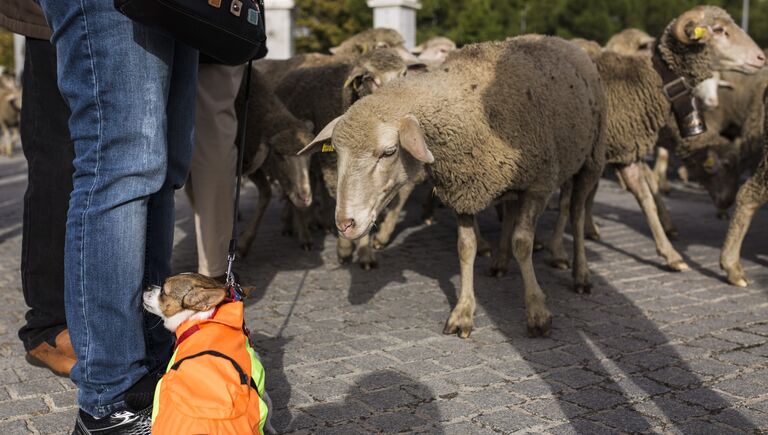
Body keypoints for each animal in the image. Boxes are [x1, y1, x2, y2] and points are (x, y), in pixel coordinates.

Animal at [234, 68, 318, 255]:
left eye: (309, 154)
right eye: (278, 154)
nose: (305, 198)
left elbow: (269, 194)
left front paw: (305, 236)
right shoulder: (246, 161)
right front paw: (242, 243)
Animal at [300, 35, 608, 338]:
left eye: (389, 152)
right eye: (337, 152)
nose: (344, 224)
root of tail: (564, 41)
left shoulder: (538, 185)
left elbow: (523, 243)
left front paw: (537, 312)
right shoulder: (465, 188)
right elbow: (465, 248)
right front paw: (463, 313)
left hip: (590, 160)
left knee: (577, 214)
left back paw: (581, 275)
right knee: (510, 212)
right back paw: (500, 262)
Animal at [544, 5, 760, 272]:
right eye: (719, 30)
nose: (762, 58)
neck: (644, 82)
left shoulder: (625, 151)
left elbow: (645, 198)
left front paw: (671, 253)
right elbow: (567, 202)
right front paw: (557, 251)